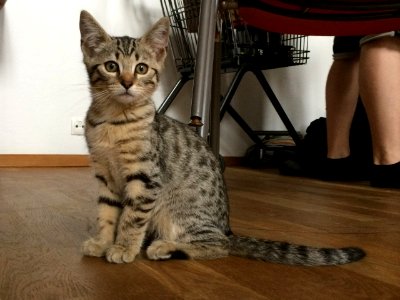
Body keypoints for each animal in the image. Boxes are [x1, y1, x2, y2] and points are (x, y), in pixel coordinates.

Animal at [79, 9, 366, 264]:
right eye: (111, 66)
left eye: (141, 68)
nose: (127, 83)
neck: (114, 119)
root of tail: (227, 227)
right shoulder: (105, 175)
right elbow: (107, 212)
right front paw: (103, 242)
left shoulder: (146, 177)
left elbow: (132, 217)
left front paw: (124, 247)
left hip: (178, 213)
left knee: (219, 245)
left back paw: (167, 247)